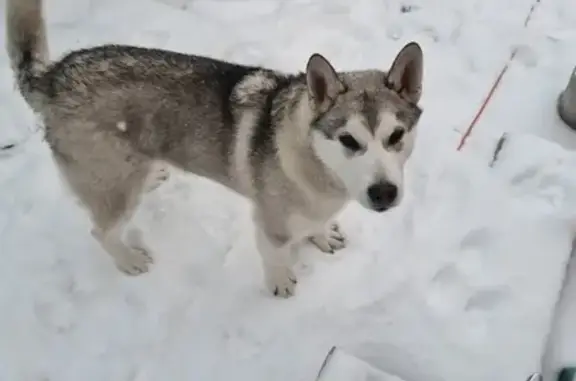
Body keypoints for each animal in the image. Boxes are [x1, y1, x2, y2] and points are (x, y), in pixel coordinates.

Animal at [4, 0, 424, 296]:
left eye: (396, 136)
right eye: (349, 140)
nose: (384, 193)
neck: (318, 166)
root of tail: (53, 77)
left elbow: (315, 225)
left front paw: (321, 236)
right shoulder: (270, 224)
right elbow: (276, 258)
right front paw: (281, 284)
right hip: (114, 186)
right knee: (101, 231)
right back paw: (128, 260)